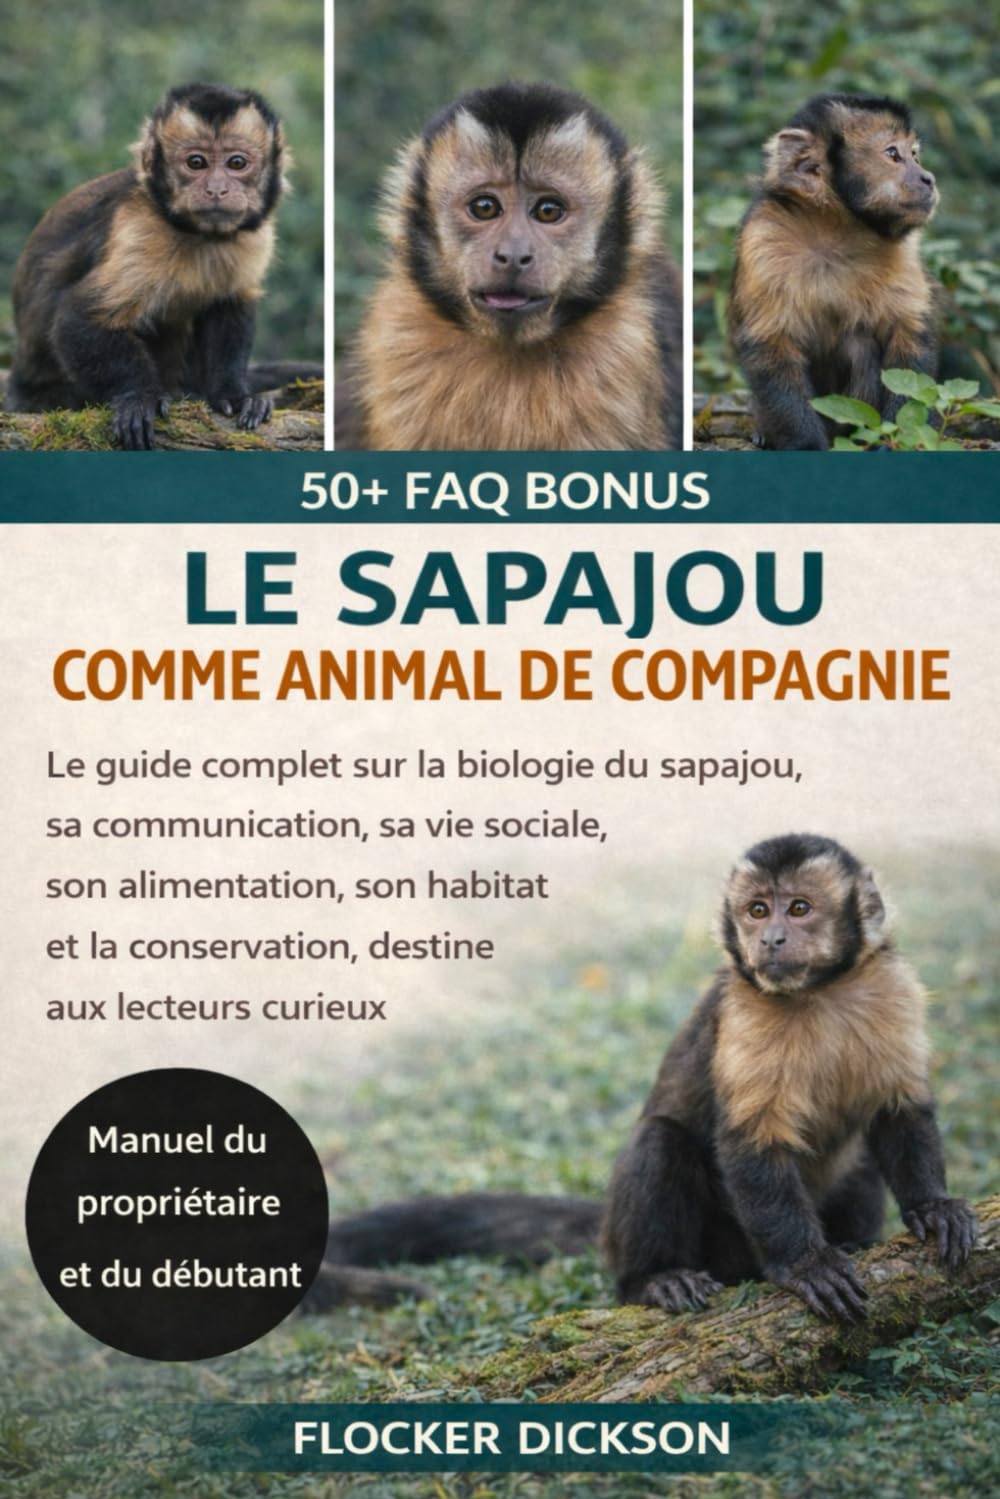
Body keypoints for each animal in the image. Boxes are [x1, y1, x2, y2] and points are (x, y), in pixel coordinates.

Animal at [6, 83, 288, 449]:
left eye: (237, 162)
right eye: (196, 163)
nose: (217, 189)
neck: (198, 234)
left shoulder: (254, 237)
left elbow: (228, 305)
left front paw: (234, 395)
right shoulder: (139, 229)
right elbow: (77, 319)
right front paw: (138, 397)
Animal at [304, 834, 976, 1324]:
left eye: (800, 908)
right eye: (757, 910)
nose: (772, 938)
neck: (821, 994)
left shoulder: (890, 989)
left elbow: (900, 1109)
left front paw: (931, 1206)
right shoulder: (743, 1012)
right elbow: (748, 1144)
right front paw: (806, 1265)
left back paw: (858, 1242)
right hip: (720, 1247)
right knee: (660, 1141)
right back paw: (652, 1280)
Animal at [728, 94, 940, 450]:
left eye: (914, 154)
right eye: (892, 154)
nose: (928, 178)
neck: (837, 230)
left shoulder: (904, 253)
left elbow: (909, 341)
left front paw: (900, 439)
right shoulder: (764, 238)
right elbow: (772, 345)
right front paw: (806, 444)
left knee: (860, 345)